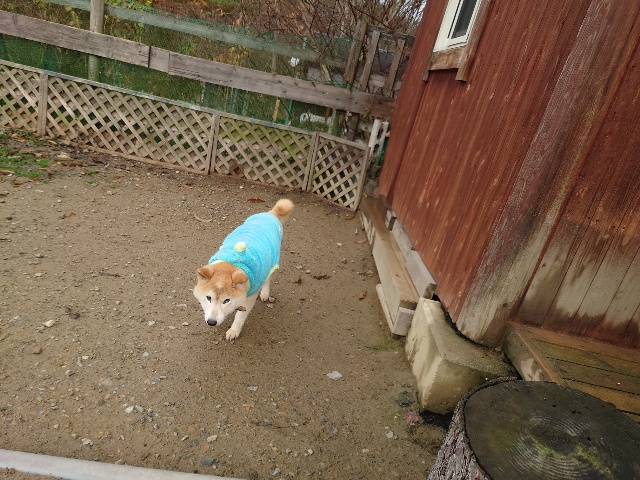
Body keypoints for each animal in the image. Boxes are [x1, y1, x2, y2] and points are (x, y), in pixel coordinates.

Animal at [193, 198, 294, 340]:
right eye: (208, 298)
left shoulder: (250, 297)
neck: (233, 263)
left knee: (268, 279)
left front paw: (234, 330)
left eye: (226, 300)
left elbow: (240, 317)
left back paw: (265, 293)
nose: (211, 322)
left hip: (272, 261)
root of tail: (270, 215)